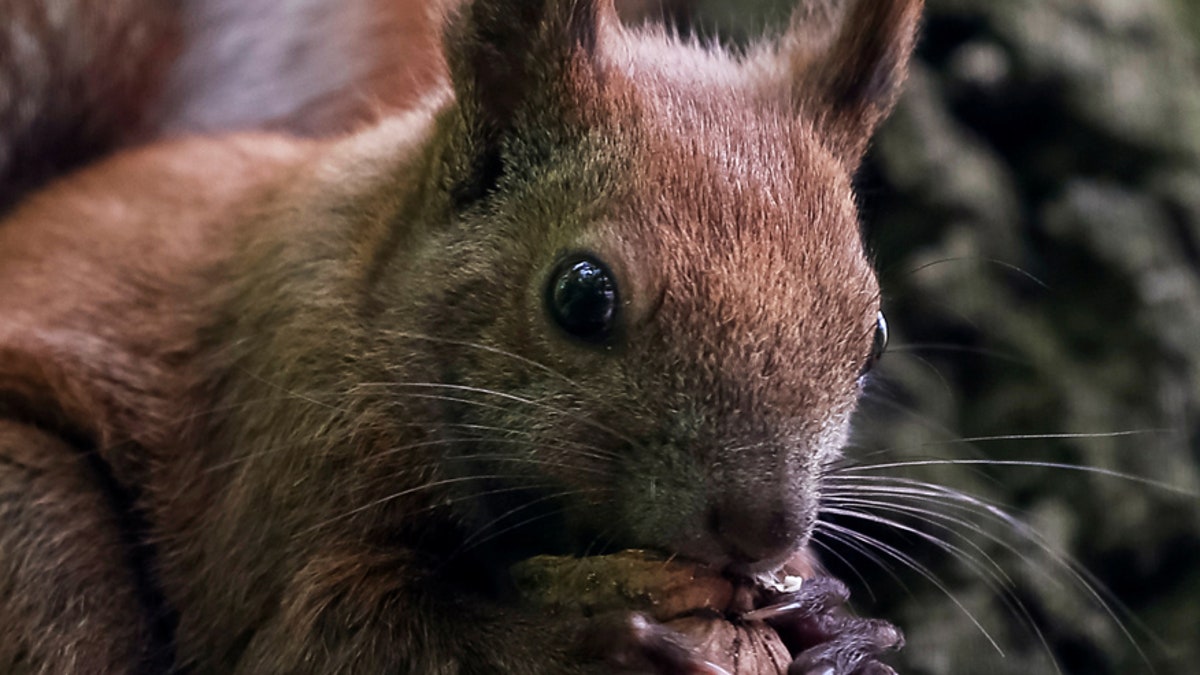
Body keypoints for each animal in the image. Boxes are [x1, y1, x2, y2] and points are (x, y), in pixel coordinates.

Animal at [0, 0, 916, 667]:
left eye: (873, 332)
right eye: (582, 296)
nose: (764, 530)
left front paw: (841, 628)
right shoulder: (285, 456)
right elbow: (319, 641)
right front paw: (591, 642)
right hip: (37, 526)